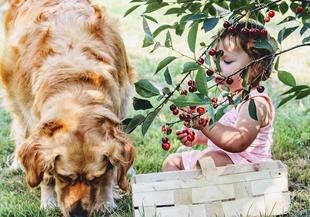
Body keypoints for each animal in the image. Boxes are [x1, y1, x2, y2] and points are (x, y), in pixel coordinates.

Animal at [0, 0, 136, 216]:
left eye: (94, 178)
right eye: (63, 176)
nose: (78, 213)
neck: (77, 86)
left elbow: (112, 167)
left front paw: (105, 201)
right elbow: (43, 172)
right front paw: (48, 201)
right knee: (20, 130)